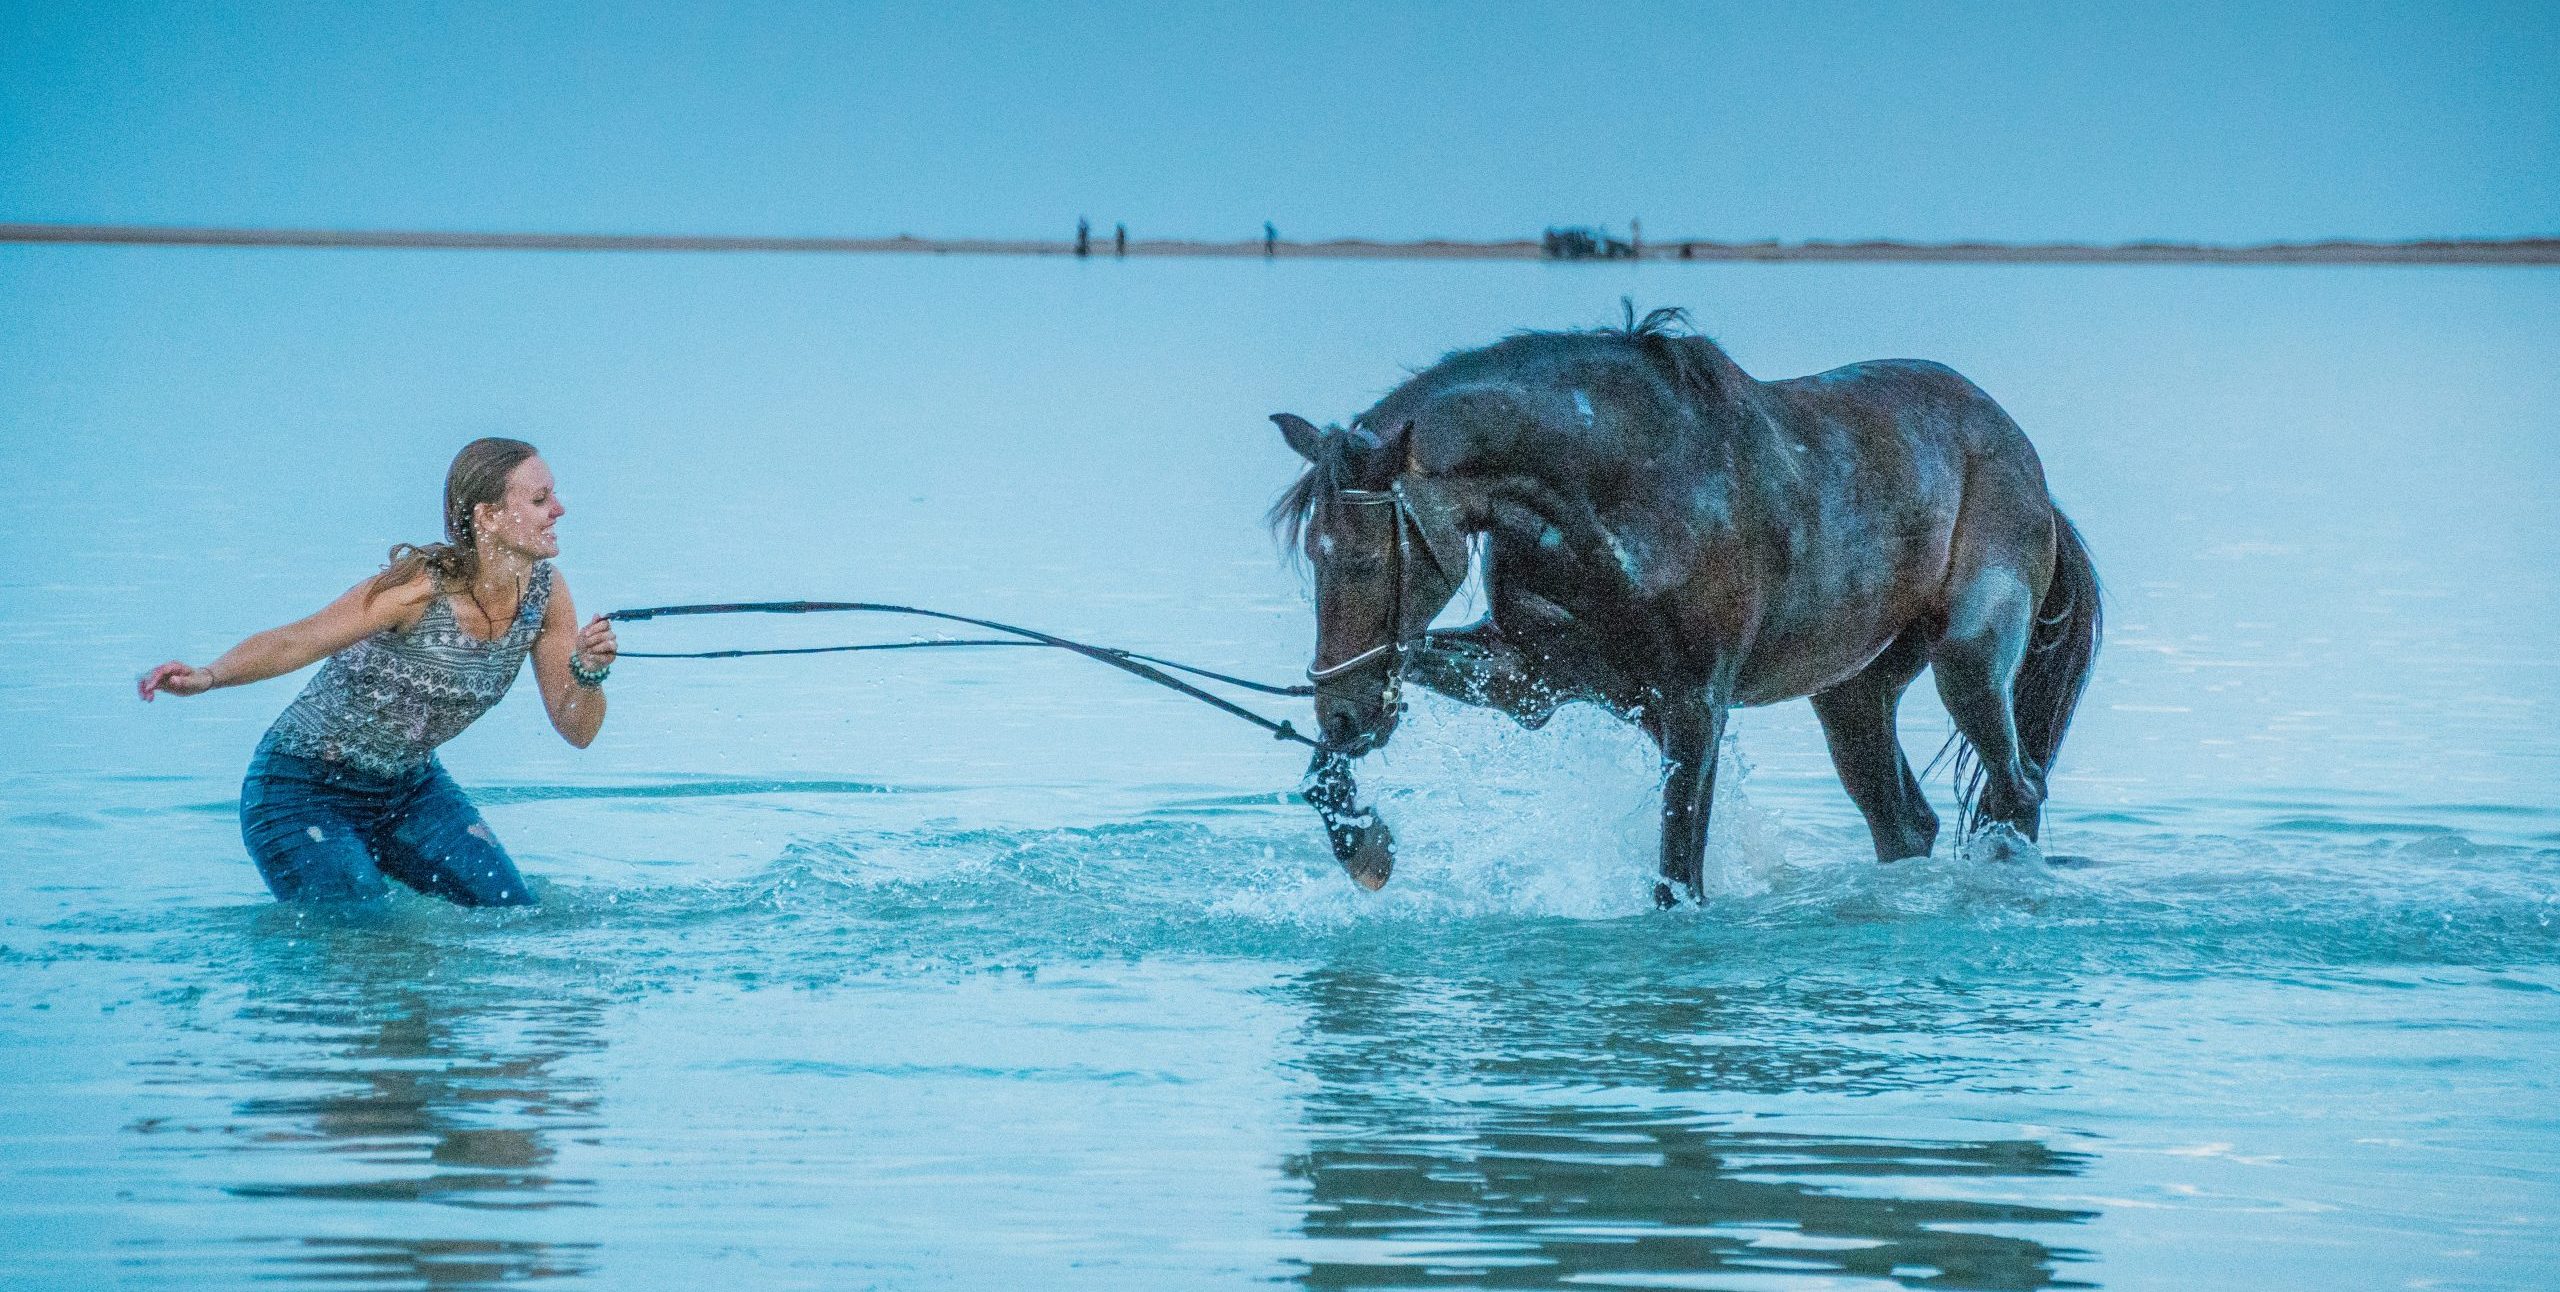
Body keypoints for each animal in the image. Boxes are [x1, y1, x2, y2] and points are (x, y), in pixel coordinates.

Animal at [1274, 307, 2099, 900]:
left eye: (1365, 558)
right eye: (1312, 554)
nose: (1342, 713)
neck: (1613, 489)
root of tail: (2027, 461)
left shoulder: (1696, 704)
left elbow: (1678, 880)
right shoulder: (1532, 677)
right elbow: (1341, 750)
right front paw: (1365, 844)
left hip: (1970, 661)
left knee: (2018, 791)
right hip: (1852, 692)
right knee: (1906, 822)